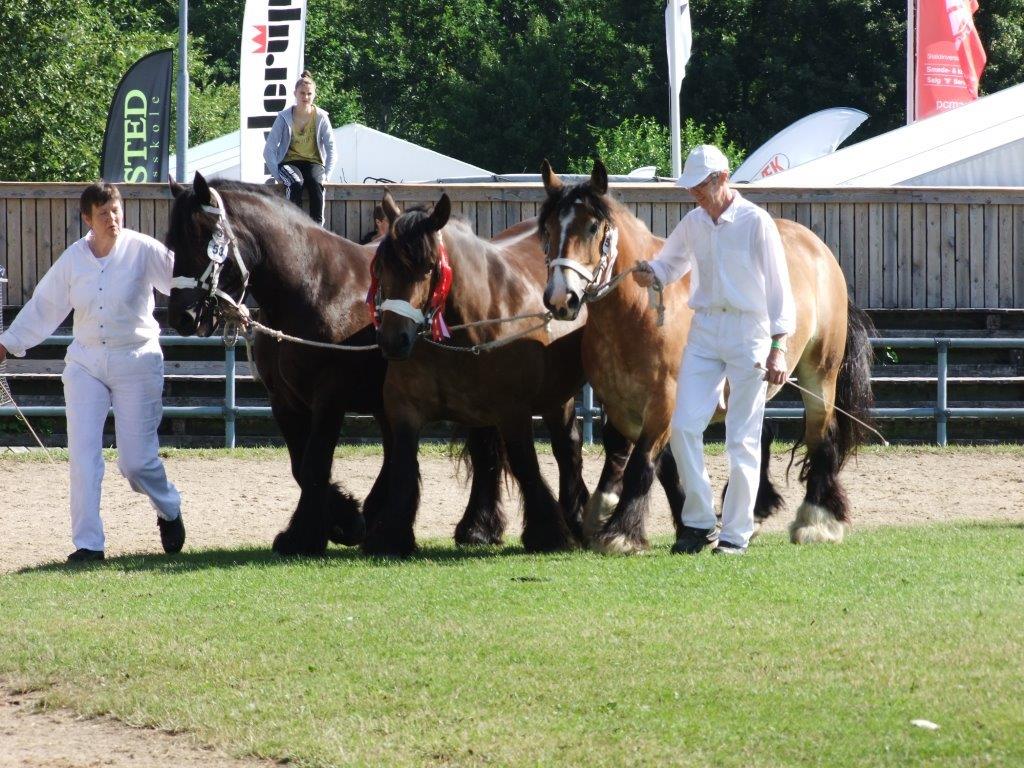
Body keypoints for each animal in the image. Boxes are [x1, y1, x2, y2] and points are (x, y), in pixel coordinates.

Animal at [166, 174, 512, 557]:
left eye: (201, 238)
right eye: (171, 242)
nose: (182, 316)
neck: (314, 289)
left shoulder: (329, 399)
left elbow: (314, 463)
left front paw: (308, 534)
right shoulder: (283, 401)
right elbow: (300, 465)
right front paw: (343, 519)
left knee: (482, 447)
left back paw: (478, 527)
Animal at [536, 162, 872, 557]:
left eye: (592, 227)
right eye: (548, 229)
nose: (561, 299)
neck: (639, 312)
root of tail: (819, 251)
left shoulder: (663, 402)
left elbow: (642, 463)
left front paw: (620, 532)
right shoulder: (617, 403)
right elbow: (646, 460)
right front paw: (682, 525)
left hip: (819, 374)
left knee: (821, 437)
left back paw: (816, 522)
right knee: (761, 436)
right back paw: (754, 514)